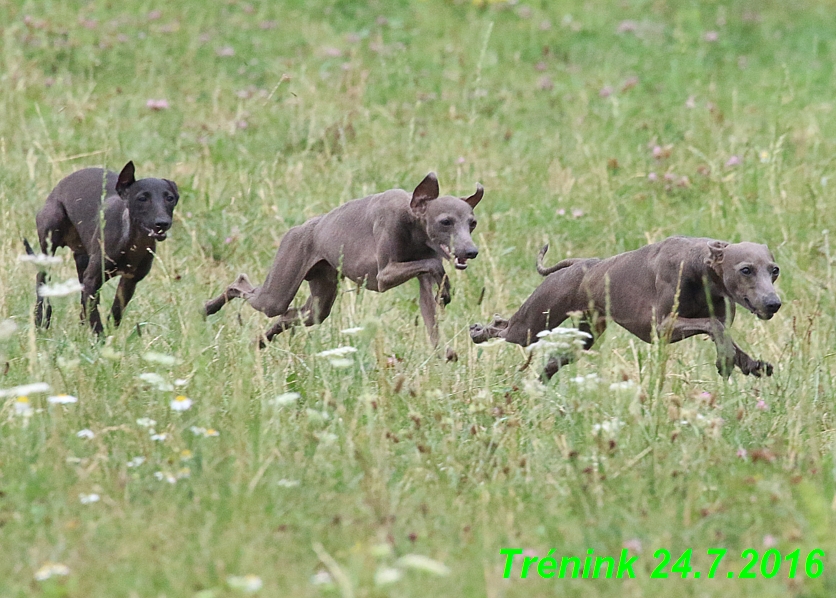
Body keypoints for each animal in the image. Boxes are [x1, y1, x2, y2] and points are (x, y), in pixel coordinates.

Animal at [204, 172, 484, 346]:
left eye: (472, 223)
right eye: (445, 221)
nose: (471, 251)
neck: (412, 221)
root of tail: (301, 228)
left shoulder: (422, 277)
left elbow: (431, 314)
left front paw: (444, 355)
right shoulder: (383, 276)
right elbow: (433, 266)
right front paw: (446, 289)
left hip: (318, 302)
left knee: (289, 316)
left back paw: (260, 342)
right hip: (278, 290)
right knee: (242, 285)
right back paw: (209, 307)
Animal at [474, 237, 780, 378]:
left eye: (774, 270)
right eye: (746, 269)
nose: (773, 303)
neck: (699, 265)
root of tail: (578, 264)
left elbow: (723, 333)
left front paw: (747, 363)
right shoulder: (661, 328)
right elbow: (713, 326)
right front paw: (728, 360)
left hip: (586, 335)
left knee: (552, 362)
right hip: (533, 324)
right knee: (503, 327)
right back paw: (478, 331)